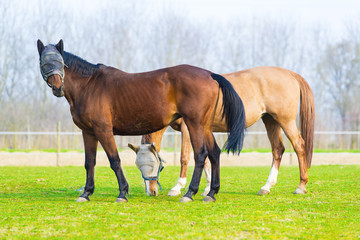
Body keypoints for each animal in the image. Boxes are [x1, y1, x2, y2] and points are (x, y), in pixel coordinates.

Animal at [36, 39, 246, 202]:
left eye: (59, 61)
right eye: (44, 63)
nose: (57, 86)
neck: (89, 85)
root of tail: (210, 74)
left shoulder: (103, 130)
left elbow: (114, 160)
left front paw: (122, 193)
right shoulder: (88, 132)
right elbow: (90, 162)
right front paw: (86, 193)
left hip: (194, 124)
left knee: (201, 155)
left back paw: (189, 193)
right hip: (205, 127)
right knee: (214, 153)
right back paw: (211, 193)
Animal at [132, 65, 316, 195]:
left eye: (154, 165)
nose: (151, 191)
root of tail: (290, 74)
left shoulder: (187, 129)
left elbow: (185, 157)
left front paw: (178, 187)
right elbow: (206, 159)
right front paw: (207, 189)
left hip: (285, 121)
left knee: (299, 146)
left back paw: (301, 186)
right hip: (270, 120)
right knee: (278, 149)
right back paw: (266, 187)